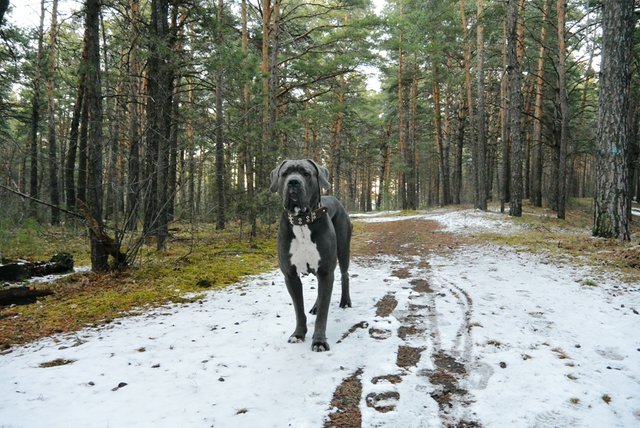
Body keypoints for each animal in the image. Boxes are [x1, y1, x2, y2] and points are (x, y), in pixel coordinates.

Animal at [268, 160, 352, 352]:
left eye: (306, 174)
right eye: (285, 174)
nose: (293, 182)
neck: (302, 221)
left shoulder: (326, 272)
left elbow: (323, 313)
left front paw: (319, 341)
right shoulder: (290, 276)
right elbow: (299, 310)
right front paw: (298, 334)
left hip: (343, 250)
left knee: (345, 274)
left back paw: (345, 301)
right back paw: (315, 306)